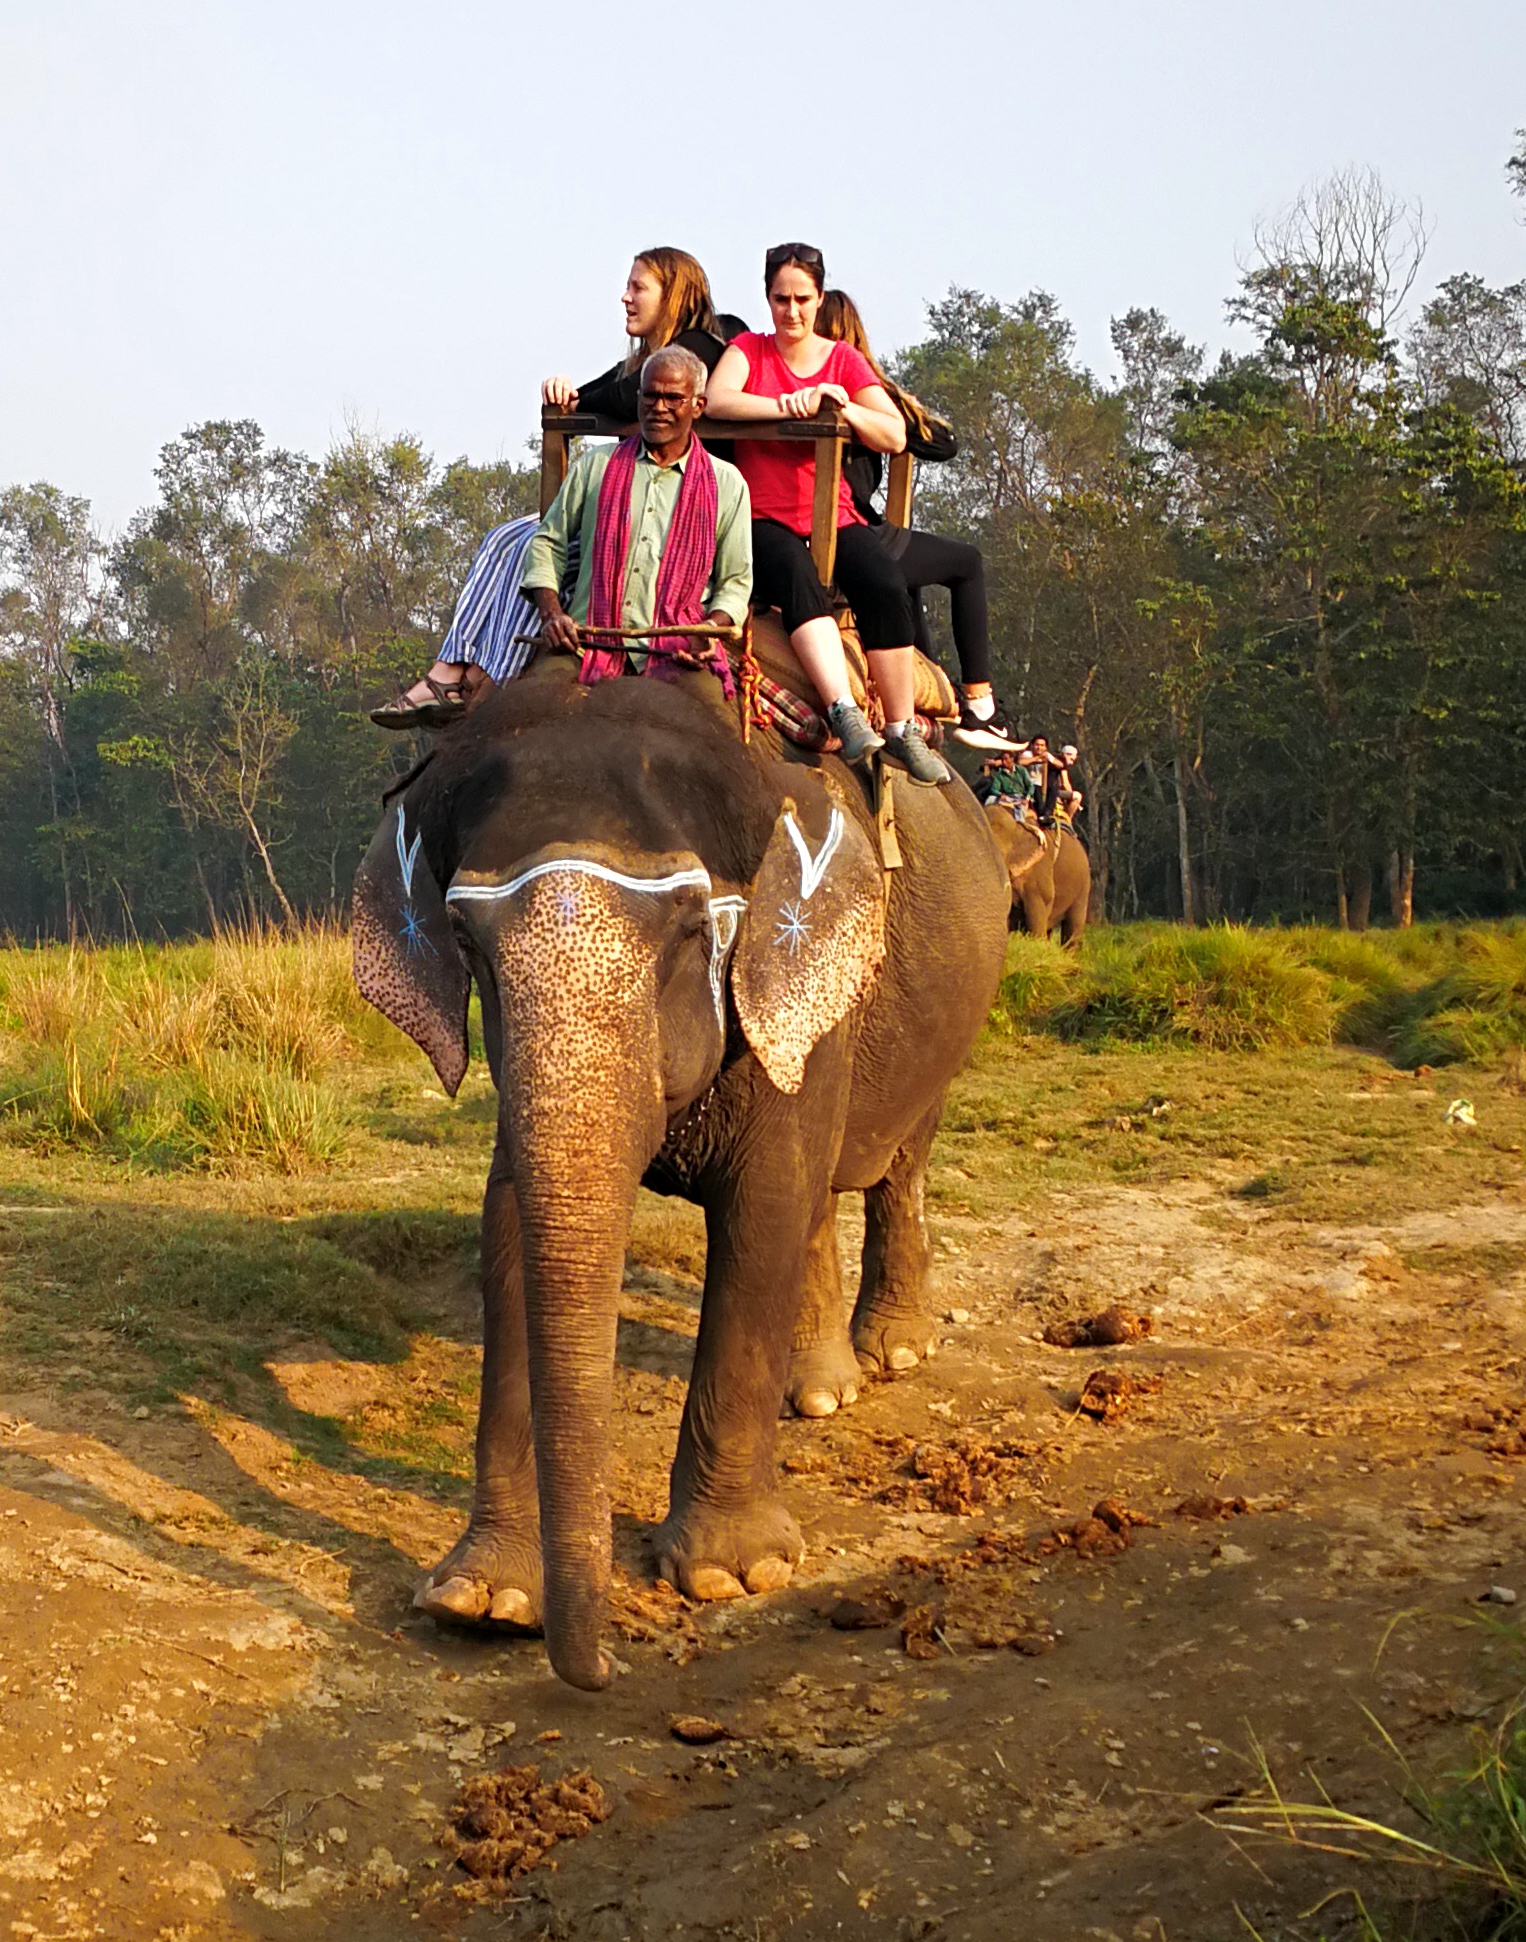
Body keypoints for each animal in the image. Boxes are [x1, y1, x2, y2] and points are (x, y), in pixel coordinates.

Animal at [351, 660, 1001, 1693]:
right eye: (467, 943)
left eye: (692, 933)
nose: (602, 1670)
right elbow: (510, 1232)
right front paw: (482, 1600)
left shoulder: (801, 978)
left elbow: (764, 1205)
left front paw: (733, 1573)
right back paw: (821, 1391)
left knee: (896, 1162)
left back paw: (890, 1354)